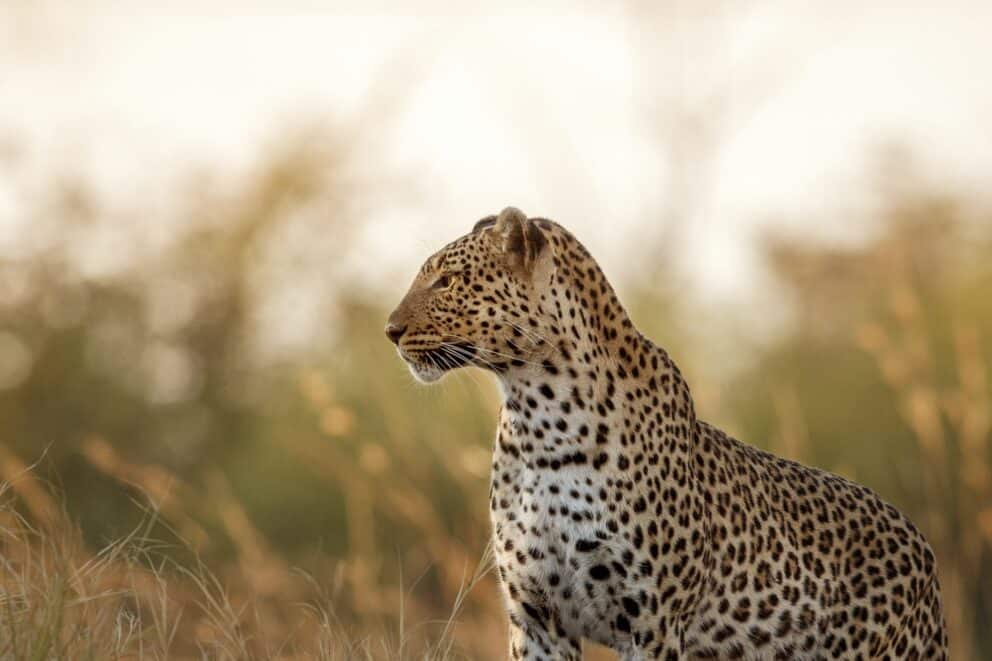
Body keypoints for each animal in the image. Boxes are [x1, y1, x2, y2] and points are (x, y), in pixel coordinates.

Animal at [385, 207, 948, 660]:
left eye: (447, 281)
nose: (390, 330)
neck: (541, 417)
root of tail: (923, 547)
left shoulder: (651, 619)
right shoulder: (536, 616)